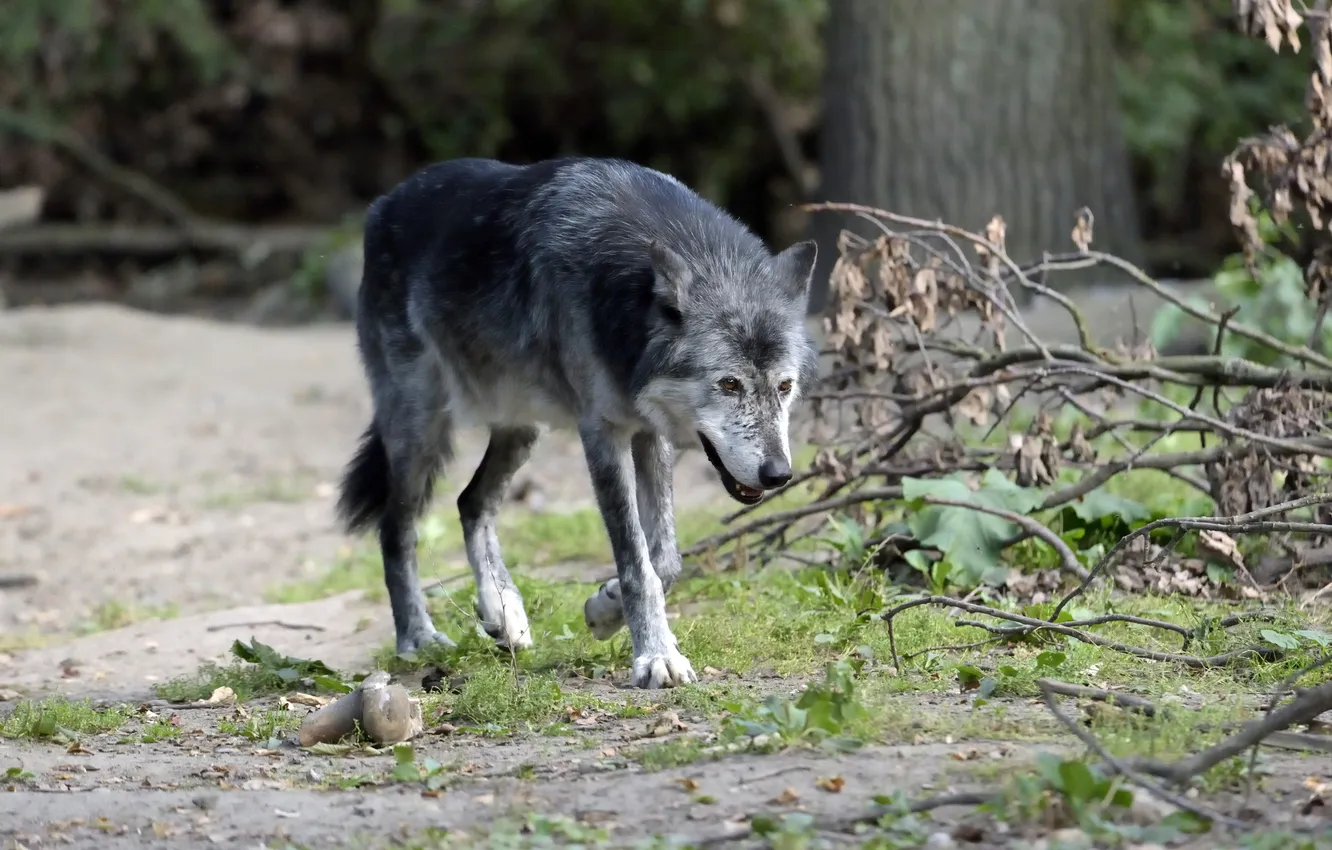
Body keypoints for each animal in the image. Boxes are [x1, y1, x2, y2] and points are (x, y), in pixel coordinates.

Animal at [335, 156, 809, 687]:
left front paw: (605, 608)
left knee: (470, 502)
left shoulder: (649, 431)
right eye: (729, 384)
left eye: (784, 387)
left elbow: (664, 560)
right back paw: (418, 637)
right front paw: (656, 656)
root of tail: (383, 204)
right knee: (396, 528)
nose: (778, 474)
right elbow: (637, 563)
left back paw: (503, 614)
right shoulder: (601, 433)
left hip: (520, 429)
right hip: (419, 429)